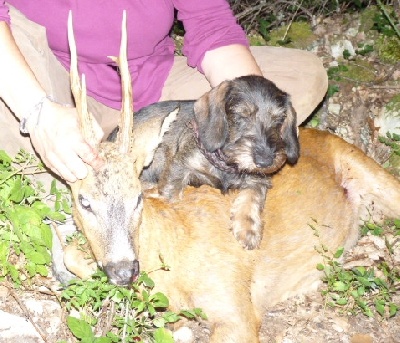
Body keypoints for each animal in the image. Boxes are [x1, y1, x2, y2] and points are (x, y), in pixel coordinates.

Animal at [109, 76, 300, 250]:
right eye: (242, 115)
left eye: (279, 119)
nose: (265, 161)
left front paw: (248, 229)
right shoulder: (181, 164)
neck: (227, 162)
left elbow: (252, 197)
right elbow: (172, 193)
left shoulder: (258, 180)